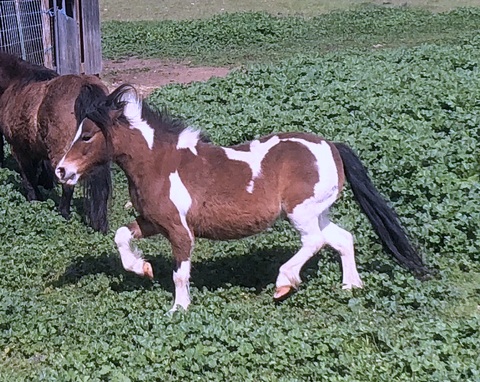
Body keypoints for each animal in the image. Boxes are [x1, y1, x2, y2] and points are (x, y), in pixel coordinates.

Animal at [0, 52, 111, 233]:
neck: (15, 83)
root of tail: (84, 86)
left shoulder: (19, 149)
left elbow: (28, 177)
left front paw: (34, 199)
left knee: (68, 184)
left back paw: (63, 213)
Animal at [56, 85, 432, 312]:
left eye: (87, 136)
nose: (61, 170)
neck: (158, 162)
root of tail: (331, 146)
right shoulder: (153, 221)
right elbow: (121, 236)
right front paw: (143, 268)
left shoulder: (180, 231)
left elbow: (180, 273)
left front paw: (179, 308)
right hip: (317, 211)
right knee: (341, 238)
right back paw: (351, 286)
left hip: (301, 213)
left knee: (313, 242)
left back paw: (284, 283)